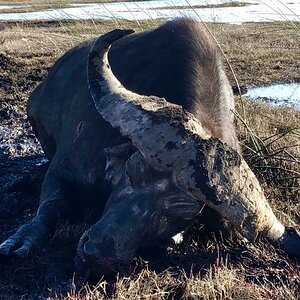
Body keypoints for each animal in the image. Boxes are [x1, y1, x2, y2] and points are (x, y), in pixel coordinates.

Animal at [0, 19, 300, 276]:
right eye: (132, 172)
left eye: (178, 215)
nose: (96, 255)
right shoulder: (65, 169)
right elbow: (51, 204)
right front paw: (22, 239)